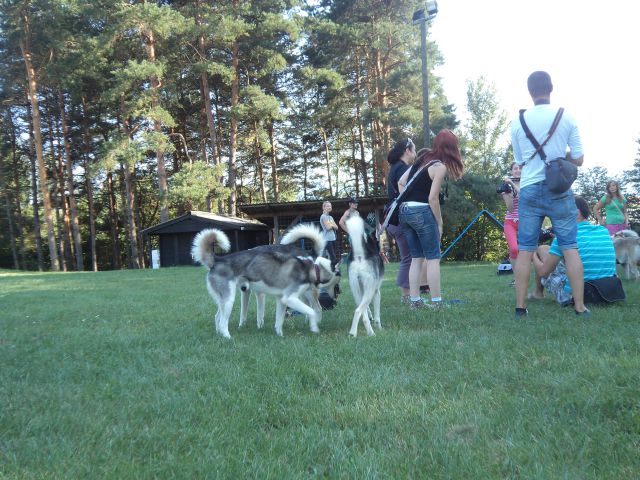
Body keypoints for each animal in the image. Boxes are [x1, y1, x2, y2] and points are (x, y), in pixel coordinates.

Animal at [192, 224, 338, 338]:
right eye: (337, 285)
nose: (337, 295)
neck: (311, 267)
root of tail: (218, 259)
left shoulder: (279, 298)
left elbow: (276, 320)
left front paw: (279, 335)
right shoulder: (287, 298)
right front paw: (314, 327)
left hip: (224, 300)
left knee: (217, 317)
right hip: (229, 300)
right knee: (222, 322)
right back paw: (228, 337)